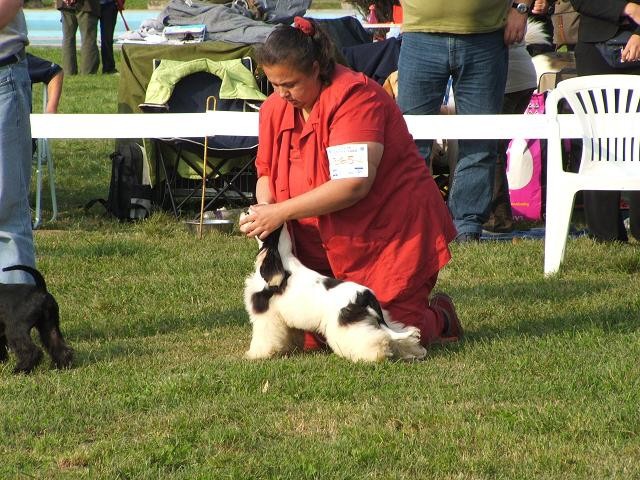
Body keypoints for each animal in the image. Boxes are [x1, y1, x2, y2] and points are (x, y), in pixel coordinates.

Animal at [242, 216, 428, 362]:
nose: (245, 211)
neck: (280, 258)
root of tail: (365, 295)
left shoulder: (266, 314)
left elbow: (264, 336)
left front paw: (255, 354)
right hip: (373, 318)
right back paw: (413, 351)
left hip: (345, 323)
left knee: (373, 339)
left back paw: (375, 355)